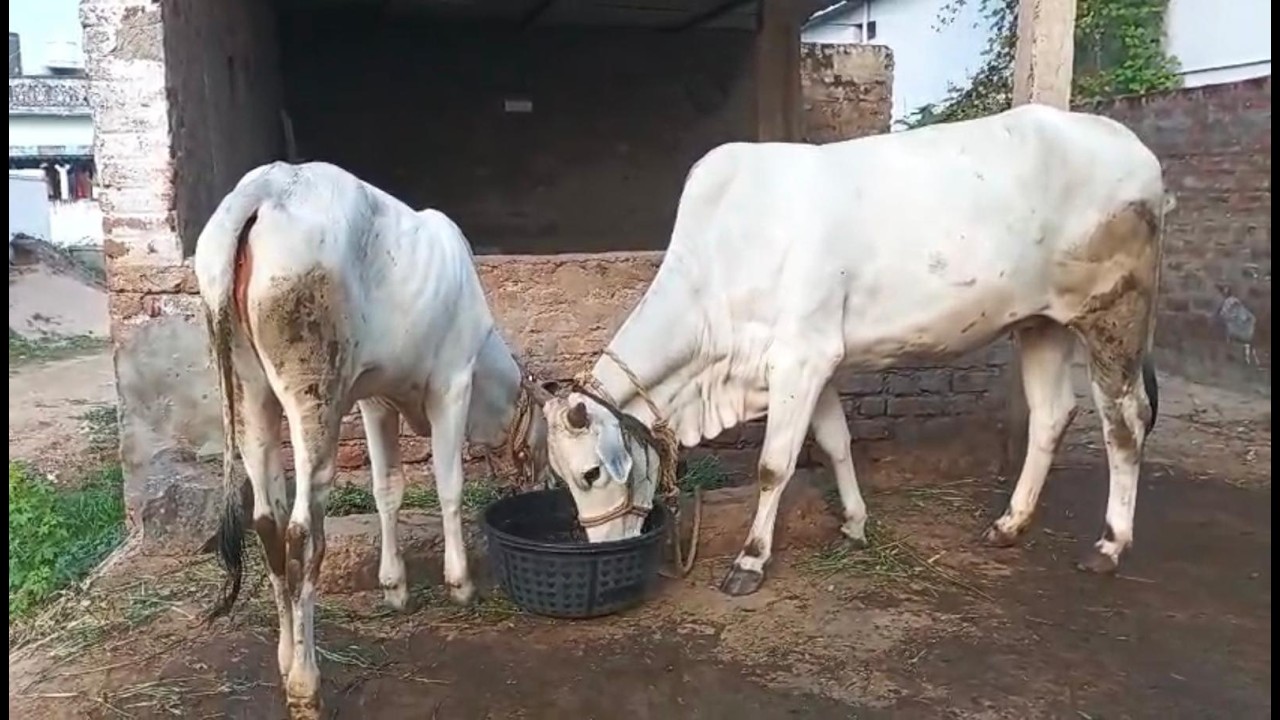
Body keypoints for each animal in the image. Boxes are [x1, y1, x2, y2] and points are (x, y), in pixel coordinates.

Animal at [193, 161, 548, 718]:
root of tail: (267, 187)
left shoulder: (376, 399)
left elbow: (388, 489)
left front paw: (394, 587)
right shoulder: (452, 384)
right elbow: (449, 485)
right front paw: (460, 583)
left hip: (248, 389)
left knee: (268, 523)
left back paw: (286, 657)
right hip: (314, 392)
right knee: (302, 534)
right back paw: (306, 685)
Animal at [530, 104, 1169, 598]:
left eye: (590, 473)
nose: (597, 546)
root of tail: (1134, 147)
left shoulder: (800, 357)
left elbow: (773, 466)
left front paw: (750, 560)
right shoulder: (816, 364)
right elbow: (836, 445)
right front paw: (856, 525)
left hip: (1113, 311)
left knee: (1124, 421)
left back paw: (1109, 544)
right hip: (1040, 322)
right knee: (1051, 416)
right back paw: (1009, 525)